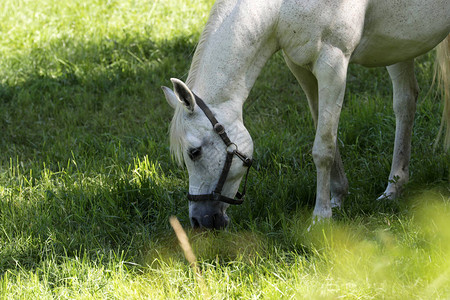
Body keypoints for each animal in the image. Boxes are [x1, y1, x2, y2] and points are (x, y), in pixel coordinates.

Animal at [163, 0, 450, 230]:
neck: (279, 7)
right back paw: (394, 188)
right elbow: (324, 132)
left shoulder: (333, 64)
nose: (199, 221)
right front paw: (338, 197)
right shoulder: (301, 67)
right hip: (400, 46)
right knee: (405, 103)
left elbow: (323, 147)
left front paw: (321, 217)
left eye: (194, 152)